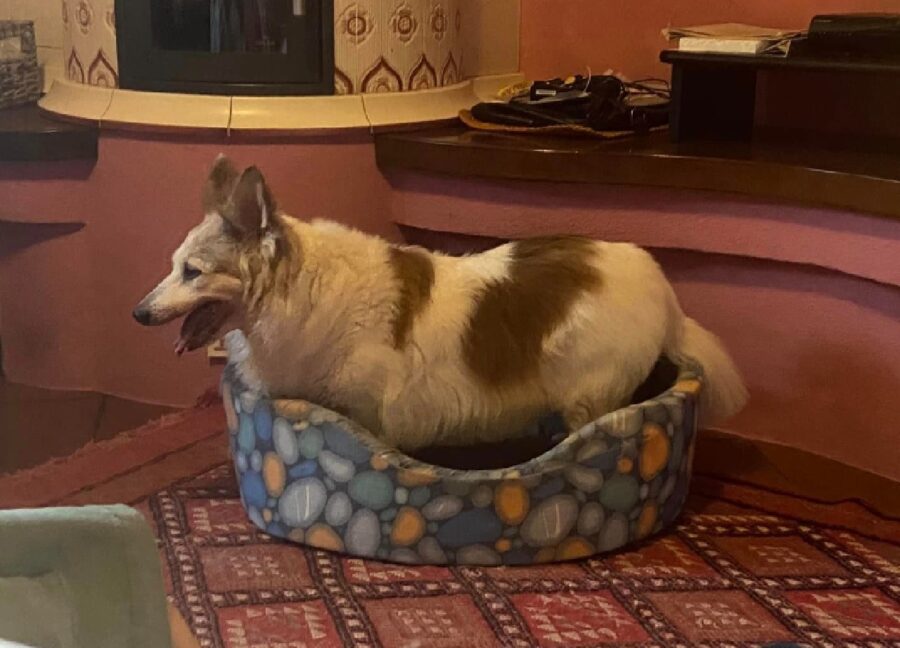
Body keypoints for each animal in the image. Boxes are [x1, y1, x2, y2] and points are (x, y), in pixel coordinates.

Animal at [132, 156, 744, 450]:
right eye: (172, 265)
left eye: (192, 272)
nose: (137, 314)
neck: (299, 287)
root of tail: (662, 286)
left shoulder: (370, 414)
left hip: (588, 395)